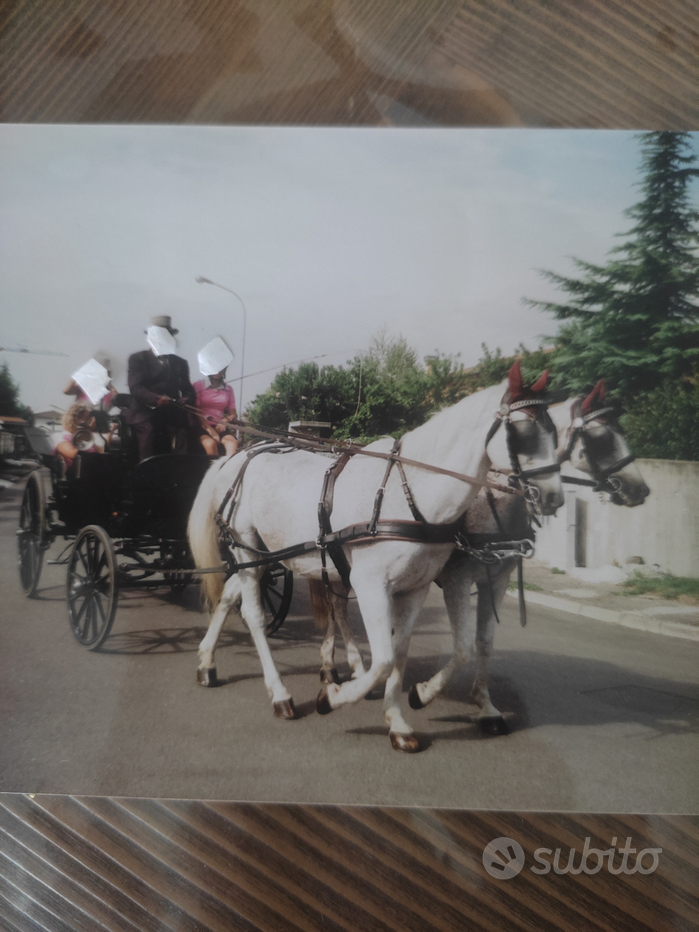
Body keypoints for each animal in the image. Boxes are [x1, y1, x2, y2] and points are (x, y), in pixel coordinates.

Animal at [189, 362, 568, 748]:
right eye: (522, 432)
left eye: (554, 432)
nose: (554, 498)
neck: (410, 495)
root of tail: (236, 456)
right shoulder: (381, 585)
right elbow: (386, 659)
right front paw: (335, 698)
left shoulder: (417, 588)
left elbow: (402, 651)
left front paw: (397, 720)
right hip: (245, 546)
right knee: (253, 615)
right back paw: (280, 693)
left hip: (265, 554)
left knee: (231, 594)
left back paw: (207, 662)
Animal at [410, 376, 652, 728]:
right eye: (603, 437)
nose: (641, 489)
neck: (493, 503)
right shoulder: (457, 581)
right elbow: (463, 647)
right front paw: (423, 692)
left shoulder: (496, 580)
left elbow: (484, 643)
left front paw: (485, 704)